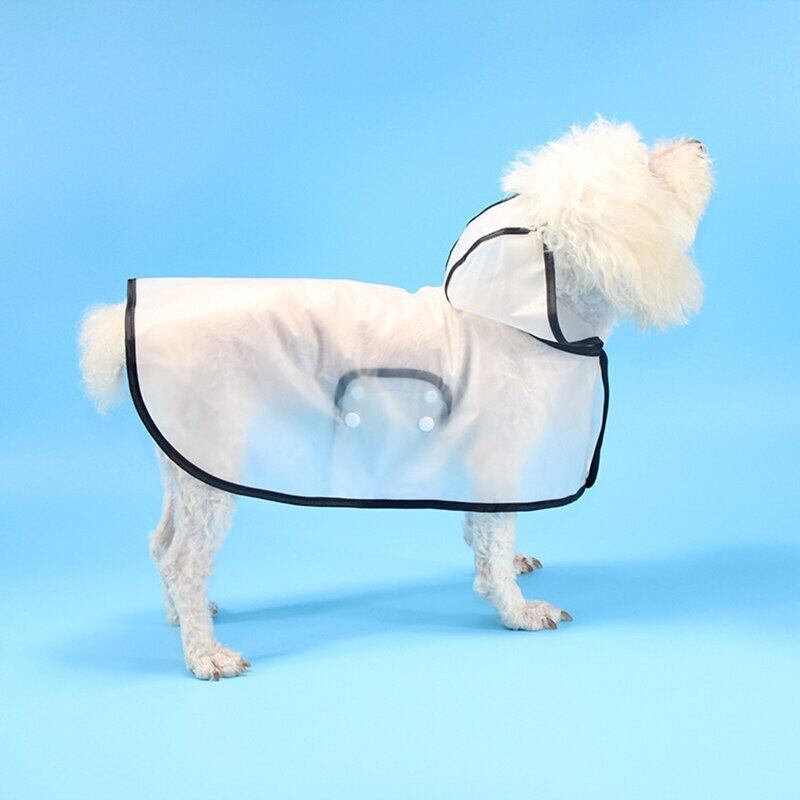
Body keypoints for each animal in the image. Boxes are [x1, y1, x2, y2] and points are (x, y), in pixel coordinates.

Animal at [79, 119, 713, 679]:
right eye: (649, 168)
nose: (699, 143)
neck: (525, 313)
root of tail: (130, 323)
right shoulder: (500, 451)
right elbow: (494, 539)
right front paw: (516, 608)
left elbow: (481, 533)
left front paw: (503, 569)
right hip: (213, 459)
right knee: (185, 561)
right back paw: (205, 653)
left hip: (185, 465)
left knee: (161, 544)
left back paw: (180, 619)